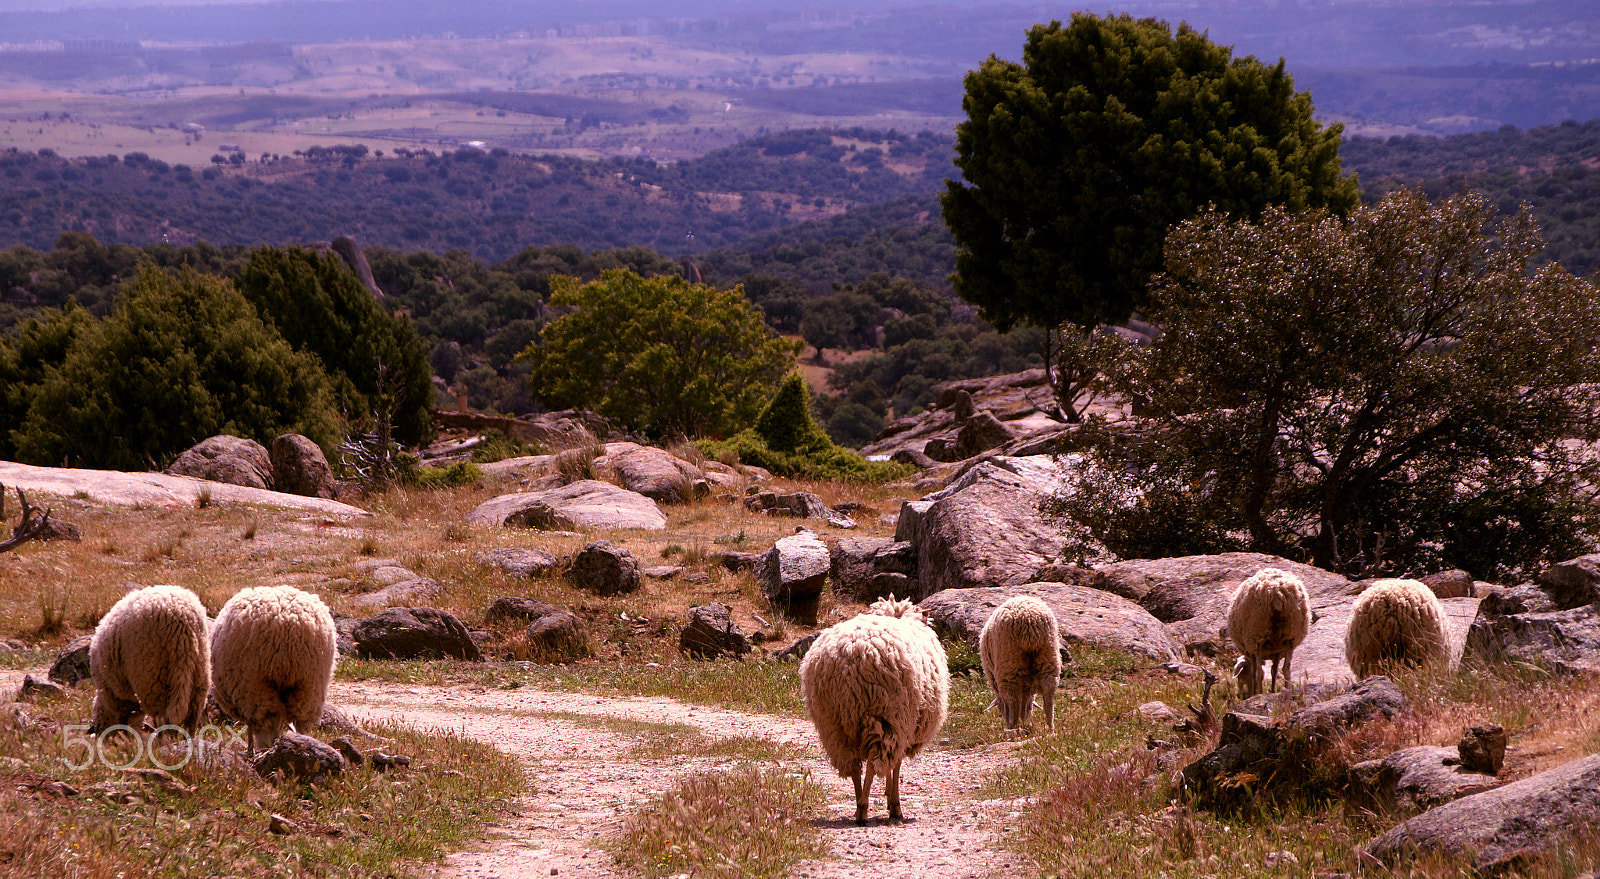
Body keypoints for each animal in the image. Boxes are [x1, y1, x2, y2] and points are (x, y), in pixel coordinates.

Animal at [211, 586, 339, 749]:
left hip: (256, 684)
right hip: (310, 684)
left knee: (268, 723)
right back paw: (302, 742)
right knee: (302, 722)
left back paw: (267, 748)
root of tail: (287, 623)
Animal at [800, 595, 947, 819]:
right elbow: (896, 764)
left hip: (832, 722)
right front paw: (893, 803)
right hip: (883, 713)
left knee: (852, 764)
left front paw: (887, 796)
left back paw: (859, 803)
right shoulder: (905, 723)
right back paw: (863, 808)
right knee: (872, 760)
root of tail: (849, 656)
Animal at [972, 592, 1062, 730]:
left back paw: (1012, 727)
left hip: (1009, 664)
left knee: (1013, 698)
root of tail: (1030, 621)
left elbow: (1008, 704)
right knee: (1049, 691)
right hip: (1049, 655)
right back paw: (1050, 728)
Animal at [1222, 569, 1312, 698]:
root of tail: (1276, 592)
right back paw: (1288, 691)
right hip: (1292, 636)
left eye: (1241, 675)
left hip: (1257, 634)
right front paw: (1273, 691)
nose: (1244, 692)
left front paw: (1255, 692)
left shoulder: (1252, 651)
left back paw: (1259, 694)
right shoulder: (1277, 652)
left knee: (1259, 672)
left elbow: (1254, 672)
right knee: (1286, 670)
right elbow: (1274, 671)